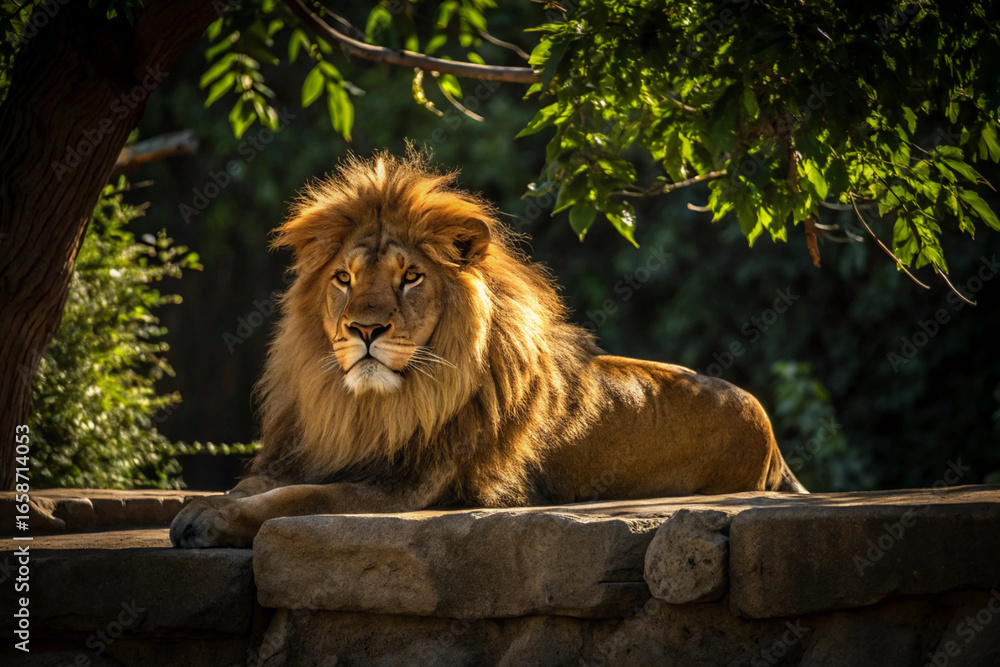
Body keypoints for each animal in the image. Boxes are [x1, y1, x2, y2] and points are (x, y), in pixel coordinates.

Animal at [170, 152, 806, 548]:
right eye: (344, 279)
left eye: (410, 278)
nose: (365, 330)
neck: (365, 407)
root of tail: (771, 434)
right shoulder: (310, 453)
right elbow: (258, 485)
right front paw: (203, 506)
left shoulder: (404, 487)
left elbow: (292, 499)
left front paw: (209, 518)